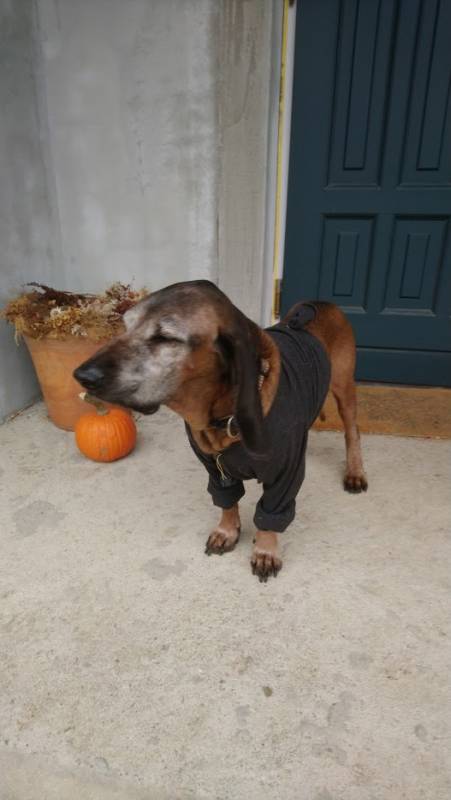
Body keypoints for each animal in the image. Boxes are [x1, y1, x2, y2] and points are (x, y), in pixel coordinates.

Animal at [74, 280, 367, 582]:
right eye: (125, 326)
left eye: (165, 337)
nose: (83, 376)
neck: (224, 418)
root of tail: (322, 302)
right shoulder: (215, 469)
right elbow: (227, 500)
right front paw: (227, 531)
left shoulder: (286, 475)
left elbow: (270, 513)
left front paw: (265, 550)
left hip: (344, 388)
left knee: (352, 431)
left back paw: (355, 472)